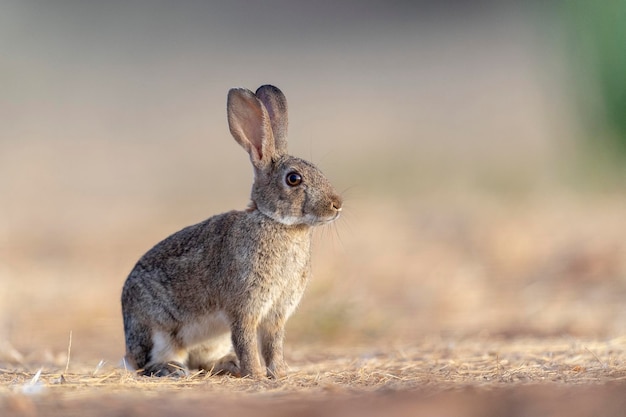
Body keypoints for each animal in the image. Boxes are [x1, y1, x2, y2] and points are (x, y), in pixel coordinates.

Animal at [120, 84, 344, 376]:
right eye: (294, 179)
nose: (337, 204)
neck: (276, 222)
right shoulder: (245, 306)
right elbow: (246, 340)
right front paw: (257, 374)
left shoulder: (276, 313)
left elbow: (273, 344)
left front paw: (280, 372)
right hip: (156, 331)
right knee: (147, 363)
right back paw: (172, 369)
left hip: (213, 339)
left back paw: (228, 364)